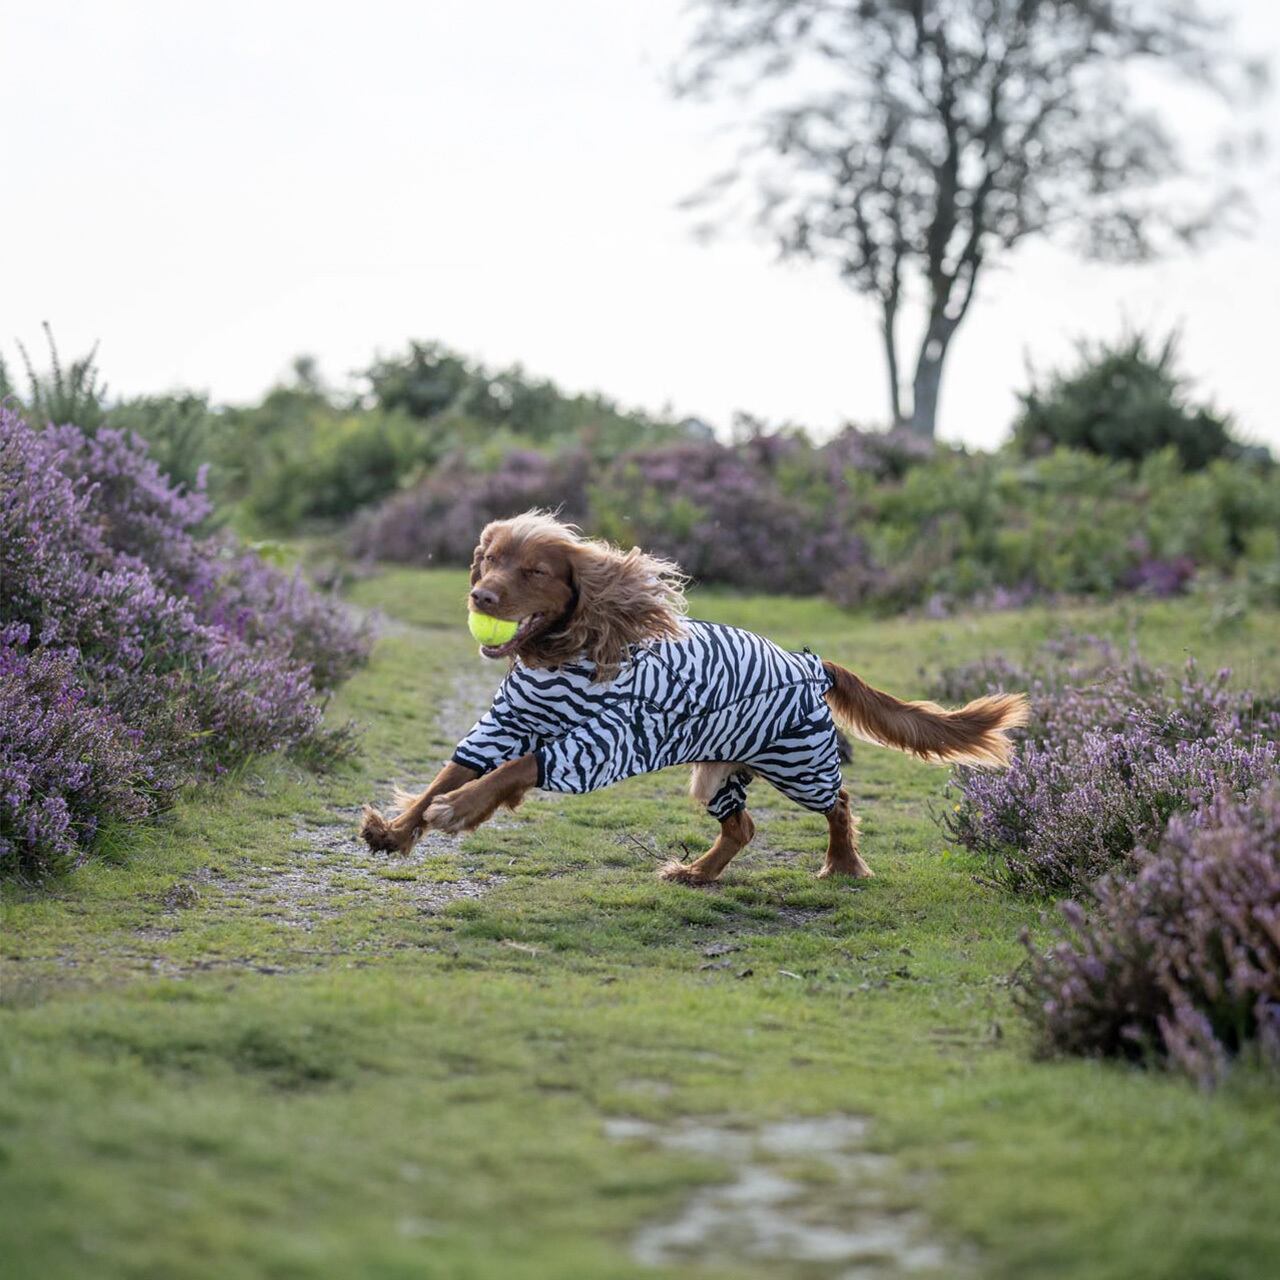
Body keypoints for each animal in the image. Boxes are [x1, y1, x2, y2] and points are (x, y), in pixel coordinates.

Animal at [360, 511, 1027, 885]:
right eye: (489, 560)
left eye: (535, 571)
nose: (482, 598)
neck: (565, 656)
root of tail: (811, 663)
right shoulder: (502, 723)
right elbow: (447, 775)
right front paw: (397, 831)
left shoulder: (606, 742)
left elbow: (516, 770)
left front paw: (456, 813)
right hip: (718, 771)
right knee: (744, 828)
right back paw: (698, 873)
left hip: (801, 761)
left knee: (837, 804)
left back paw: (842, 864)